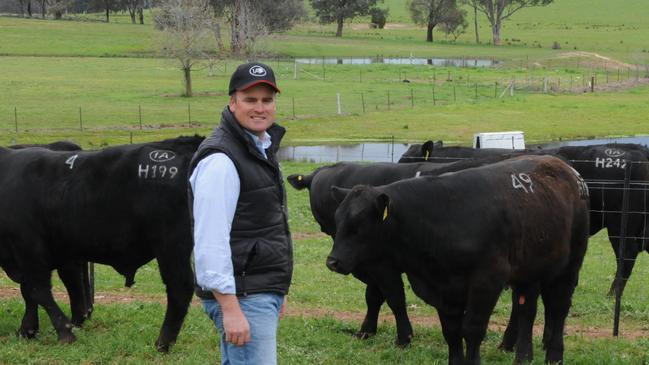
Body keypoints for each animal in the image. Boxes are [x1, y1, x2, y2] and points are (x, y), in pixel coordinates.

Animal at [0, 136, 202, 350]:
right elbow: (36, 291)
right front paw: (29, 330)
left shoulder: (29, 249)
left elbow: (37, 290)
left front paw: (64, 331)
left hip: (170, 245)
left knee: (180, 287)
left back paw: (163, 343)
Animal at [326, 155, 588, 362]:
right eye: (337, 220)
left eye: (359, 225)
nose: (332, 261)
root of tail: (567, 169)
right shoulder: (442, 289)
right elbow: (451, 331)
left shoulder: (487, 280)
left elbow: (472, 328)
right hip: (529, 271)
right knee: (526, 310)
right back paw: (522, 356)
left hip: (571, 263)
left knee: (559, 307)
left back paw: (554, 355)